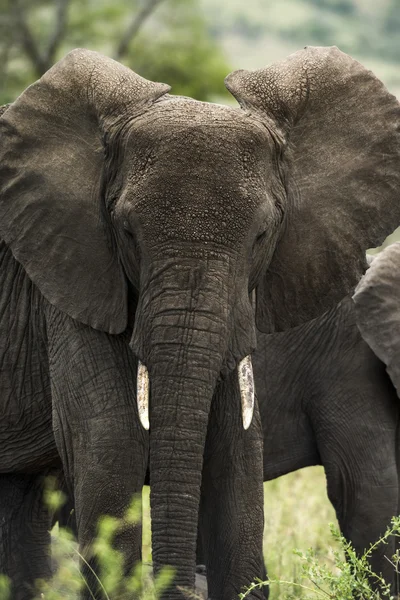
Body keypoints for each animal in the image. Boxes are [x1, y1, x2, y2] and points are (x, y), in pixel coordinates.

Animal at [0, 44, 400, 596]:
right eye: (126, 232)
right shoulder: (66, 271)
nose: (185, 584)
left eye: (262, 236)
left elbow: (237, 457)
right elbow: (113, 446)